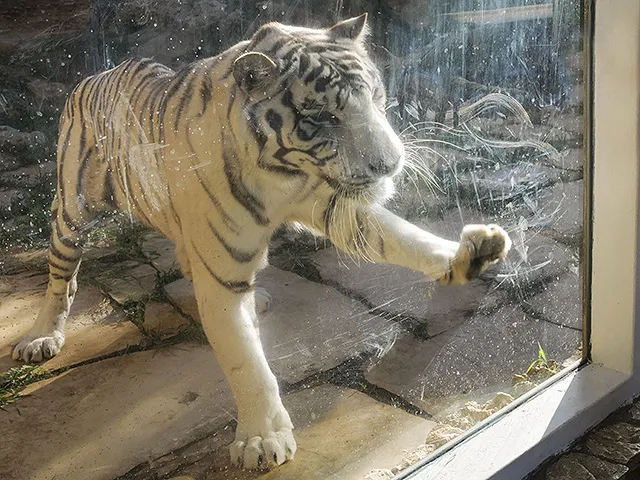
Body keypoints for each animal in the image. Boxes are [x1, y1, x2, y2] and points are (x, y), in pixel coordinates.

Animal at [12, 14, 511, 469]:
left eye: (376, 96)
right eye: (323, 116)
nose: (389, 165)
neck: (283, 173)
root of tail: (97, 72)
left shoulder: (334, 204)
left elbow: (402, 237)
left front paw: (471, 252)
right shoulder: (223, 279)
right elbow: (246, 363)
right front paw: (262, 440)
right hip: (72, 208)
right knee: (61, 276)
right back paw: (42, 335)